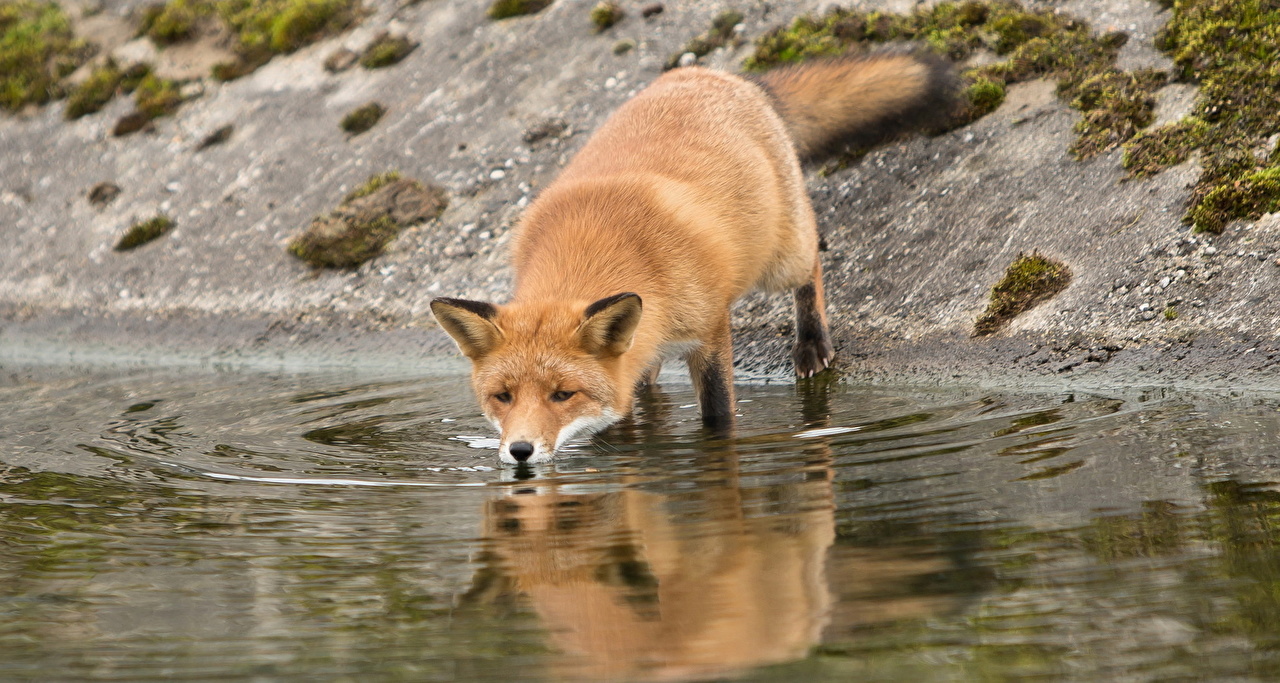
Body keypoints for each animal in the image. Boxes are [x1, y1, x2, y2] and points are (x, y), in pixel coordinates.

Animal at [432, 48, 962, 465]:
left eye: (563, 395)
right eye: (502, 397)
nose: (519, 452)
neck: (591, 246)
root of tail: (721, 74)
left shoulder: (709, 330)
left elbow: (718, 411)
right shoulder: (628, 362)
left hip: (781, 259)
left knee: (812, 260)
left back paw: (812, 342)